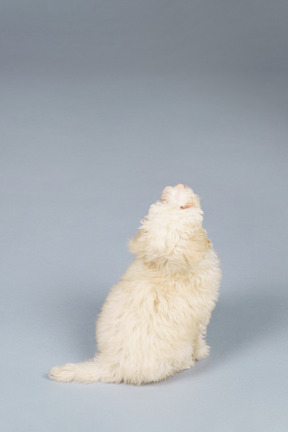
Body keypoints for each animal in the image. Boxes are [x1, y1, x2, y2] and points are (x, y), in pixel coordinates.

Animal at [49, 184, 220, 384]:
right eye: (182, 207)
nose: (180, 185)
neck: (166, 266)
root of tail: (111, 364)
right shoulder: (201, 315)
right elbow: (199, 338)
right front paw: (202, 352)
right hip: (177, 352)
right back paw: (187, 363)